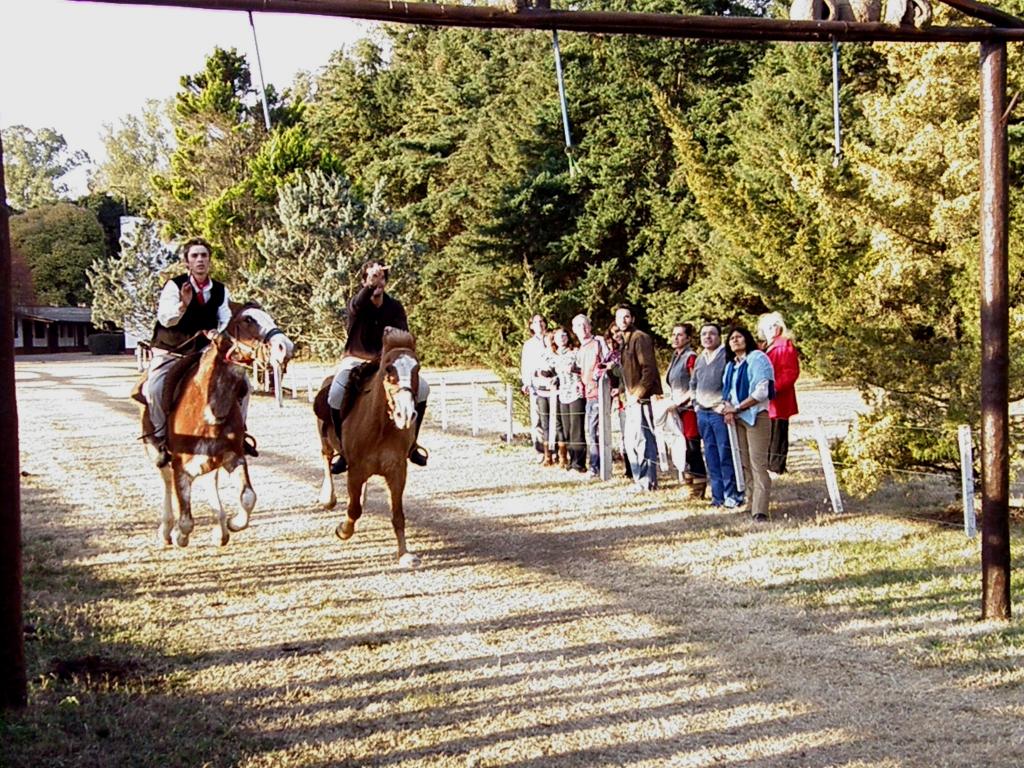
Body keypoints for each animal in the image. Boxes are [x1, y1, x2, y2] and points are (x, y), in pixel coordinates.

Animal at [137, 301, 296, 548]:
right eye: (248, 320)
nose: (285, 347)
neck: (210, 409)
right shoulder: (180, 466)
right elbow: (186, 518)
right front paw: (179, 535)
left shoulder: (234, 456)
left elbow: (248, 497)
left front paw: (234, 523)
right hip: (157, 453)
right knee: (166, 483)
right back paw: (166, 530)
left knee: (210, 480)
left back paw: (220, 529)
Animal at [313, 327, 421, 569]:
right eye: (388, 369)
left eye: (417, 368)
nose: (405, 415)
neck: (380, 428)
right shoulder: (355, 470)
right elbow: (354, 510)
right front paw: (343, 530)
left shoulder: (397, 472)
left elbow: (398, 515)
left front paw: (404, 554)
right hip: (326, 443)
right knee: (326, 459)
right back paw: (328, 497)